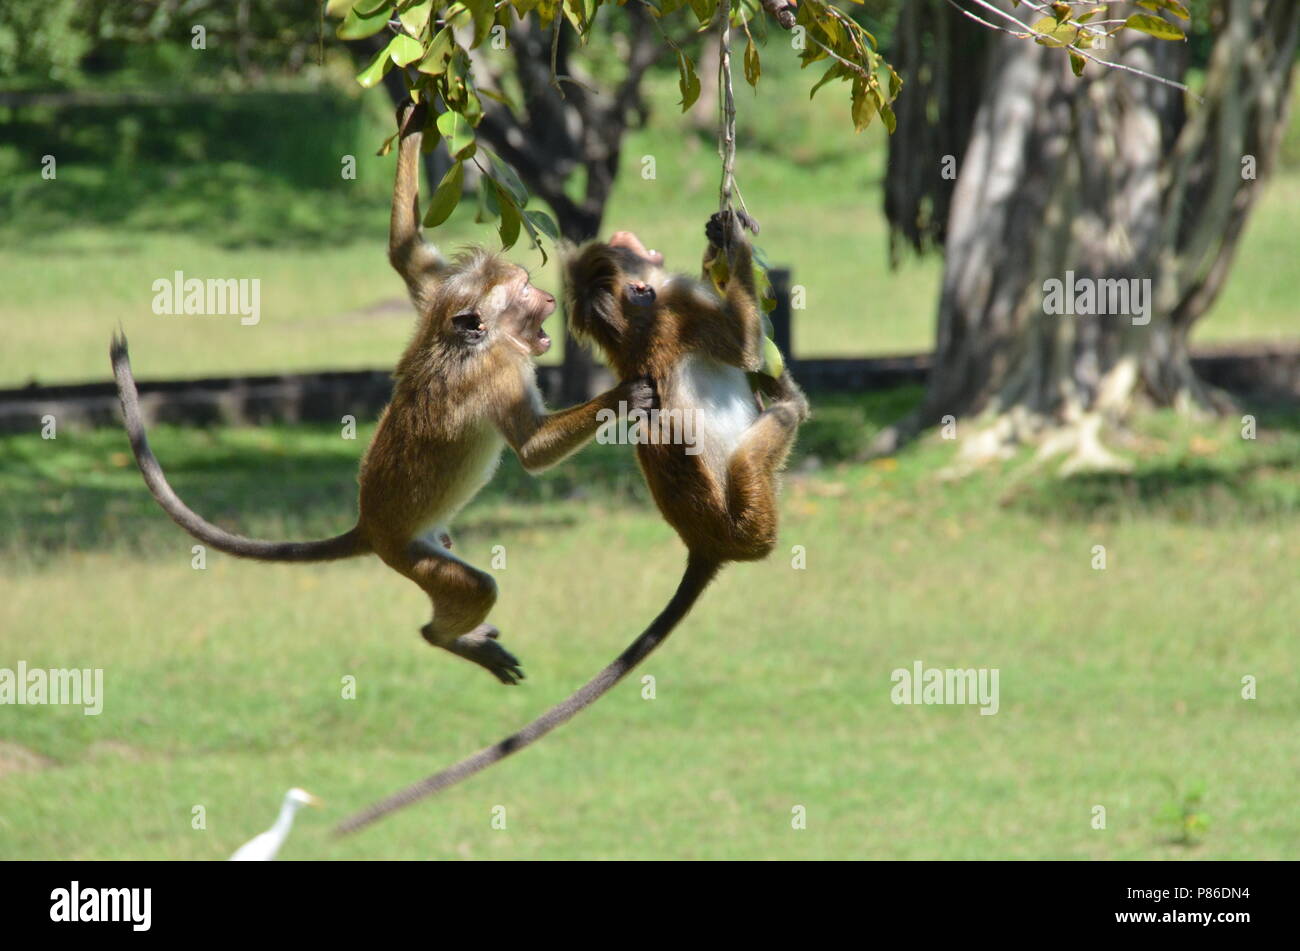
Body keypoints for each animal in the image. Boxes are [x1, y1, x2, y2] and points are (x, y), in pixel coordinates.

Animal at [110, 101, 650, 685]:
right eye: (527, 293)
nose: (550, 298)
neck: (469, 339)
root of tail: (369, 525)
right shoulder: (501, 370)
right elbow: (531, 450)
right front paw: (624, 395)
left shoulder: (439, 296)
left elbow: (405, 254)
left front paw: (418, 117)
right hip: (408, 553)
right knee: (475, 586)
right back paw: (445, 636)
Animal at [332, 207, 800, 831]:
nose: (630, 239)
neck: (637, 323)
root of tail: (707, 546)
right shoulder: (688, 315)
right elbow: (745, 344)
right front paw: (730, 239)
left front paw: (722, 237)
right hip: (753, 516)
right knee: (770, 435)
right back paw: (787, 396)